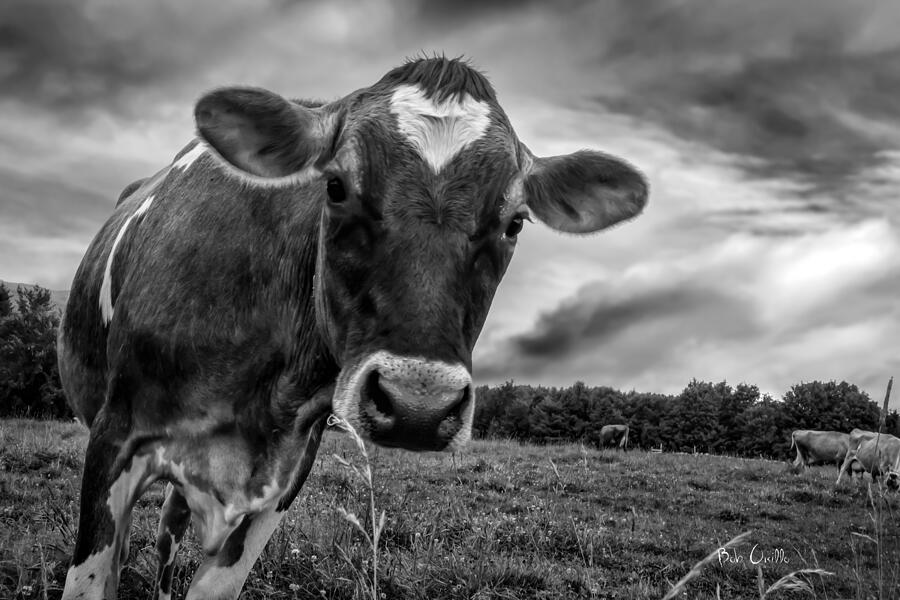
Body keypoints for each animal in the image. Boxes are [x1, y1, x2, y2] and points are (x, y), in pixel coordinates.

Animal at [56, 57, 648, 600]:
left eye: (515, 223)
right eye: (336, 187)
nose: (418, 405)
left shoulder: (285, 476)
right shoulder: (114, 436)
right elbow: (90, 580)